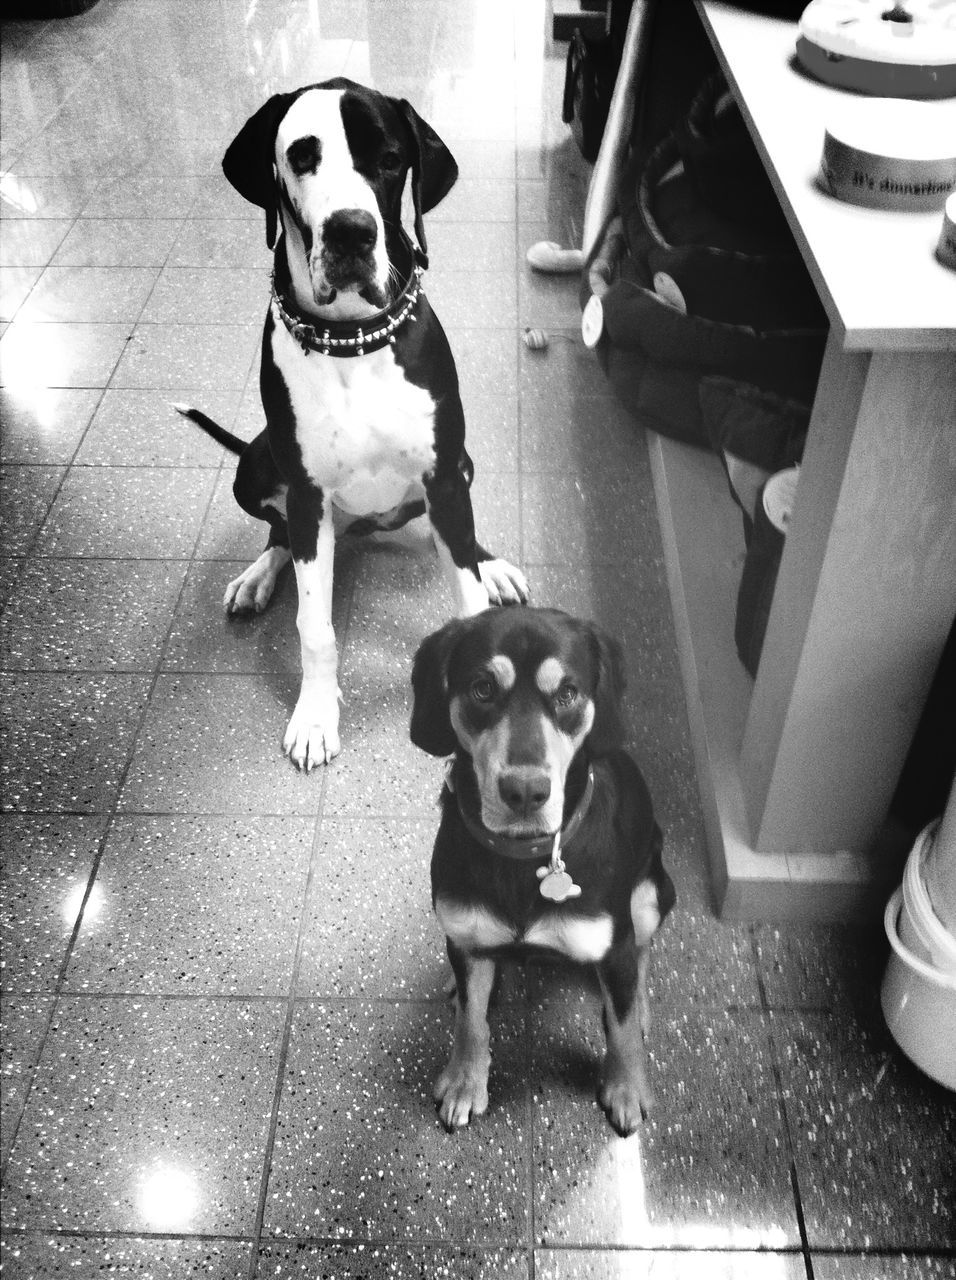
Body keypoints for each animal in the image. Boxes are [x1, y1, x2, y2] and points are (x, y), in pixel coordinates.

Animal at [175, 80, 527, 768]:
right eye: (301, 156)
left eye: (390, 159)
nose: (351, 233)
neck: (351, 341)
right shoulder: (308, 494)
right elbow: (314, 626)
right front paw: (315, 714)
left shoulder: (446, 476)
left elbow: (466, 587)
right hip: (256, 469)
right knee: (281, 534)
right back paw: (259, 577)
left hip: (461, 468)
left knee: (460, 542)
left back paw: (491, 564)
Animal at [409, 604, 670, 1136]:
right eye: (482, 688)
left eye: (567, 693)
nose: (525, 792)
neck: (523, 857)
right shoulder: (466, 935)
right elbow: (471, 1022)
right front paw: (465, 1081)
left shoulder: (613, 947)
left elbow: (621, 1028)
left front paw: (627, 1088)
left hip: (652, 893)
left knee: (643, 950)